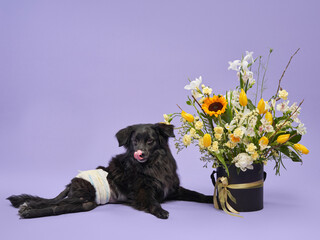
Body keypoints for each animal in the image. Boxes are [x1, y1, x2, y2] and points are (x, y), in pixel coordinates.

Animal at [6, 124, 212, 219]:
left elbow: (197, 194)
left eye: (150, 141)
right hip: (85, 194)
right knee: (54, 203)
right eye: (135, 141)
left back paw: (28, 210)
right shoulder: (143, 192)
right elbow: (151, 201)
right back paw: (28, 209)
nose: (140, 153)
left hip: (86, 202)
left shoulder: (173, 189)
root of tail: (72, 182)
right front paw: (160, 210)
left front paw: (211, 198)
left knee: (60, 207)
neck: (153, 165)